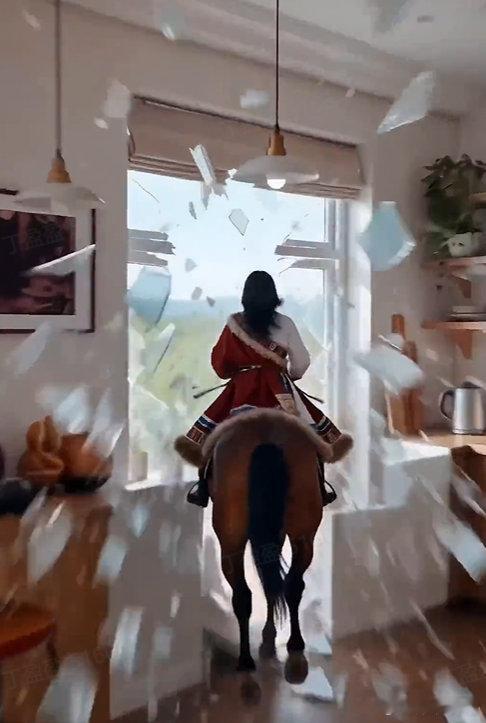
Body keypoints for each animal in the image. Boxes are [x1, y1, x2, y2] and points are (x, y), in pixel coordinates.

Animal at [176, 408, 352, 686]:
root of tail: (265, 435)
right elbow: (273, 581)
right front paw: (270, 637)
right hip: (302, 531)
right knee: (289, 584)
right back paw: (292, 647)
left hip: (231, 539)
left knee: (244, 594)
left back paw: (248, 659)